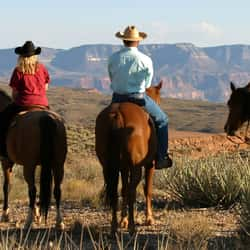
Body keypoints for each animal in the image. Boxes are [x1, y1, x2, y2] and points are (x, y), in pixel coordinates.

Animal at [0, 89, 67, 229]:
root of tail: (46, 118)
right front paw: (38, 215)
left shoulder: (6, 161)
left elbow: (6, 186)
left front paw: (5, 214)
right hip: (58, 164)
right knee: (57, 190)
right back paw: (59, 222)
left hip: (29, 166)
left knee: (32, 190)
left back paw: (28, 222)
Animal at [94, 80, 163, 234]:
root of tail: (117, 114)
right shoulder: (150, 164)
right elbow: (147, 189)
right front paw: (149, 218)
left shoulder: (123, 168)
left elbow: (123, 190)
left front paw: (123, 220)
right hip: (136, 167)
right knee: (132, 191)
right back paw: (132, 227)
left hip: (107, 166)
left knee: (115, 191)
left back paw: (114, 227)